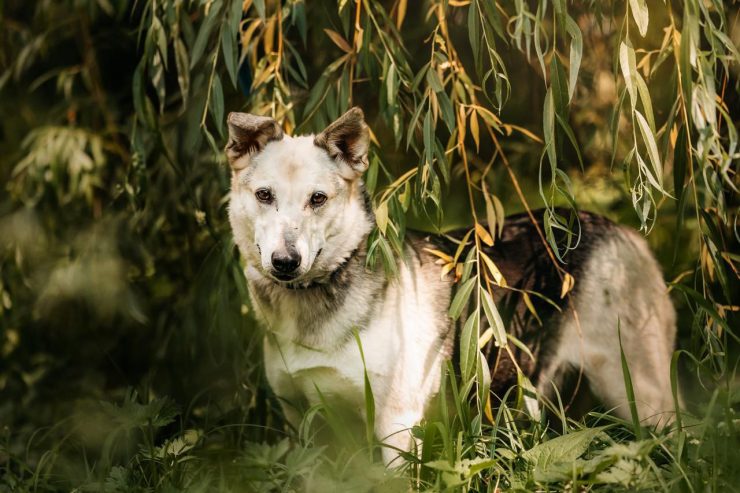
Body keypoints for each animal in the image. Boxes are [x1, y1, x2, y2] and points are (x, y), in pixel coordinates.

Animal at [224, 105, 676, 464]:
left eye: (318, 199)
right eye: (264, 195)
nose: (285, 262)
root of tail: (622, 231)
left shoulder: (397, 426)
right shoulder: (299, 419)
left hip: (641, 393)